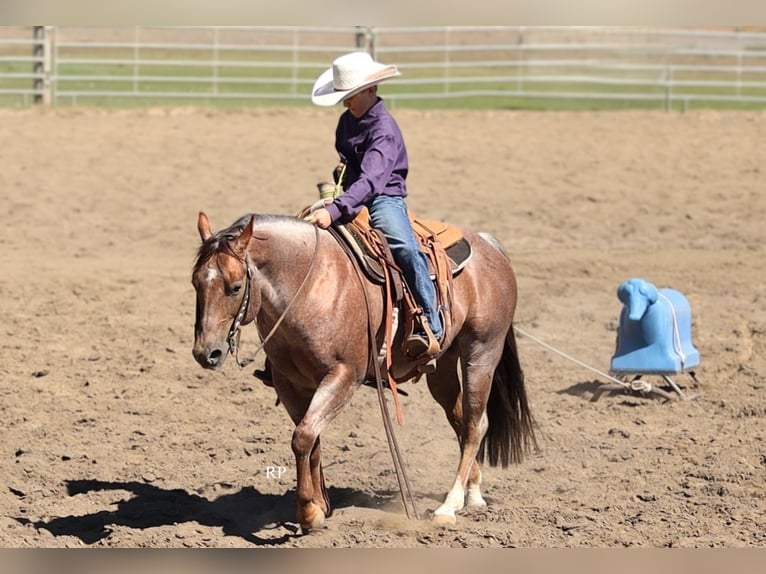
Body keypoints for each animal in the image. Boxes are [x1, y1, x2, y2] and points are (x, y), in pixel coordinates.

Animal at [192, 211, 537, 532]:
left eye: (235, 287)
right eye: (195, 283)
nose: (206, 353)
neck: (311, 284)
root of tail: (488, 245)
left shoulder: (344, 376)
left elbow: (303, 437)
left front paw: (308, 513)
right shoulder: (290, 383)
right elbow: (310, 439)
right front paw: (321, 504)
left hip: (481, 353)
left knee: (477, 424)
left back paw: (449, 506)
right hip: (443, 368)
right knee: (461, 420)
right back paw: (472, 494)